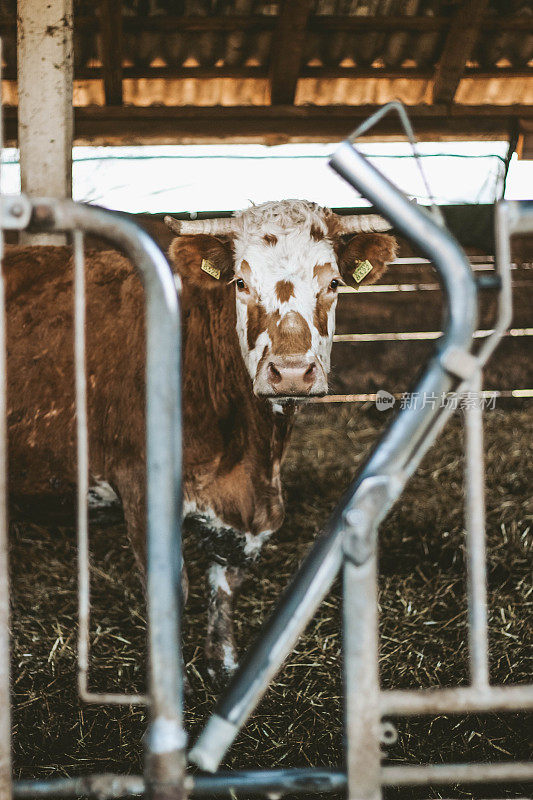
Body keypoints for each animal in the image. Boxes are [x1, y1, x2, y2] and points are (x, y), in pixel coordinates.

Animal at [4, 200, 394, 680]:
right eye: (241, 283)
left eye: (333, 282)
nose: (290, 372)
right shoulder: (142, 491)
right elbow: (171, 591)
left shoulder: (251, 511)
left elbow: (224, 583)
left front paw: (223, 662)